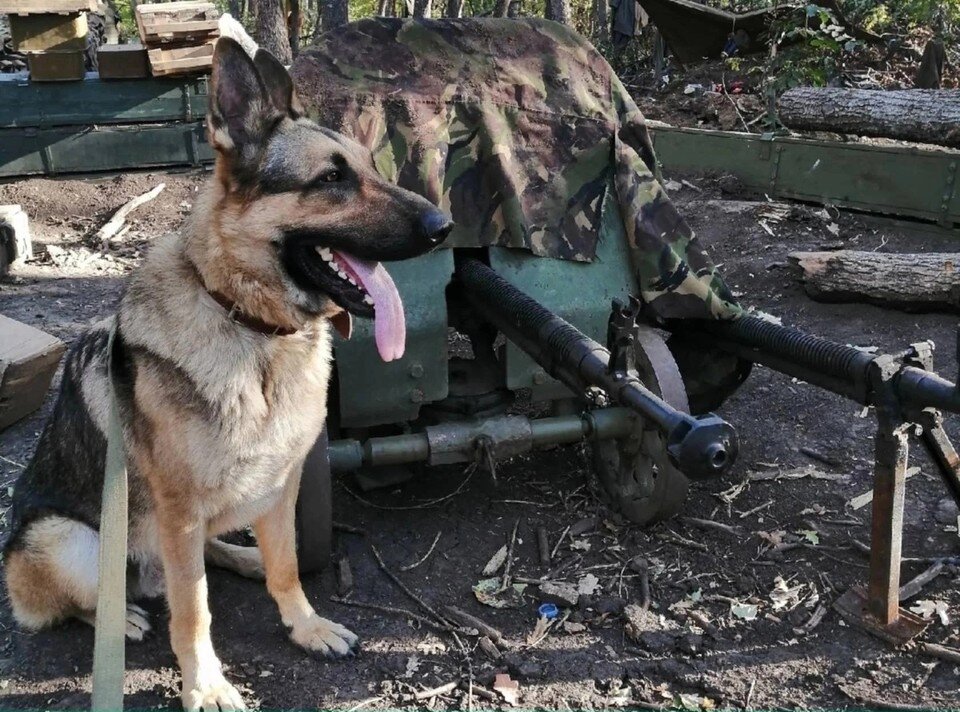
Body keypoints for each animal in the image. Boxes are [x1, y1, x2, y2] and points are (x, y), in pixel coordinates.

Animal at [4, 37, 454, 708]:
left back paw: (242, 559)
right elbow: (193, 611)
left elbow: (286, 566)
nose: (444, 227)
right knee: (101, 595)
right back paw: (122, 615)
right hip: (72, 542)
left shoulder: (280, 486)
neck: (251, 328)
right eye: (330, 179)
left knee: (204, 555)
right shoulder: (179, 510)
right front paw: (206, 683)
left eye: (370, 169)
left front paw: (304, 623)